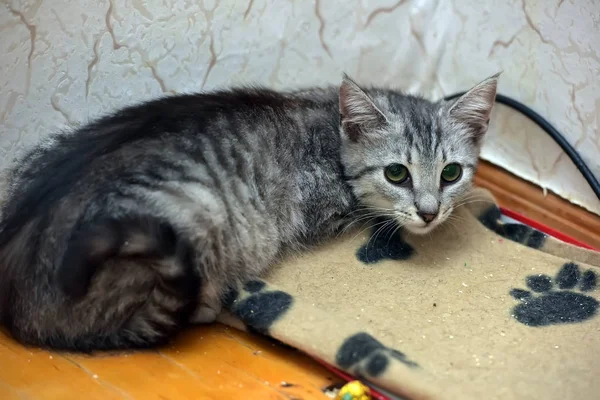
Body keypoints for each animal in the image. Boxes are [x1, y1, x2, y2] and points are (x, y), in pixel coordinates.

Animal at [0, 73, 500, 352]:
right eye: (397, 173)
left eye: (451, 172)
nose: (430, 213)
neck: (330, 126)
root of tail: (22, 313)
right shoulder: (321, 212)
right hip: (198, 212)